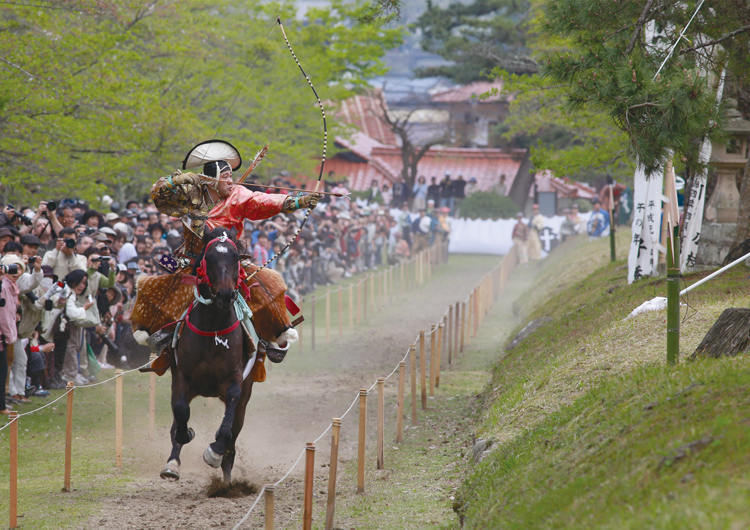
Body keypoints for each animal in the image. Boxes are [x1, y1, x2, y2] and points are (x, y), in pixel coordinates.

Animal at [160, 225, 296, 480]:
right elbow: (181, 414)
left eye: (236, 259)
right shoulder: (182, 376)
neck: (213, 329)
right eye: (209, 258)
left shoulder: (235, 381)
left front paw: (214, 452)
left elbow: (227, 428)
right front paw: (178, 451)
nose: (225, 295)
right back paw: (173, 463)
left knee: (233, 434)